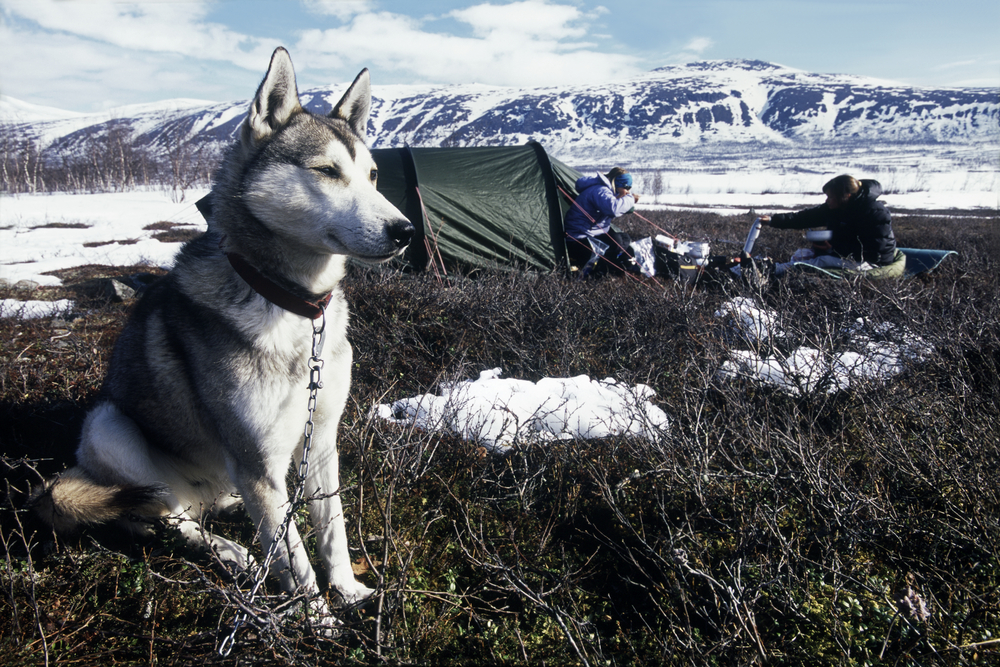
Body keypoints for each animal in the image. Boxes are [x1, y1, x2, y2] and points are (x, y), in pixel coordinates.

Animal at [32, 48, 414, 616]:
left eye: (372, 175)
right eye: (326, 171)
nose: (405, 231)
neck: (294, 308)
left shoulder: (321, 441)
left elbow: (332, 530)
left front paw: (349, 591)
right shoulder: (255, 459)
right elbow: (297, 561)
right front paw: (317, 621)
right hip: (109, 428)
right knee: (173, 520)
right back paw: (234, 554)